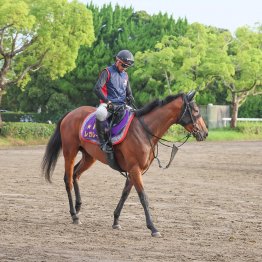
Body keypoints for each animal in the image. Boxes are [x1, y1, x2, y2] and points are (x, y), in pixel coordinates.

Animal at [42, 90, 208, 237]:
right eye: (196, 110)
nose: (205, 133)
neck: (144, 131)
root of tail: (70, 113)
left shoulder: (136, 171)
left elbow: (125, 194)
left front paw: (116, 220)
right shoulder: (135, 169)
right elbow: (143, 197)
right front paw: (153, 227)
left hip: (89, 157)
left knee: (76, 174)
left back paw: (78, 207)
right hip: (69, 152)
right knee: (68, 180)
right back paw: (74, 215)